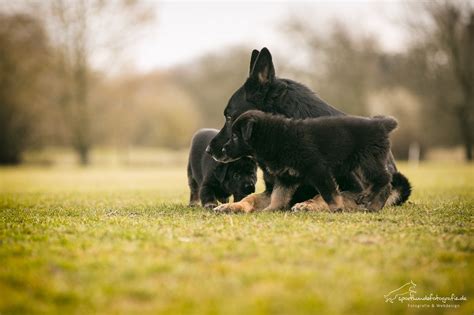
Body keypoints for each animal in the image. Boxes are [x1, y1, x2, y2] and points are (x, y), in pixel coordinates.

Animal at [224, 110, 398, 212]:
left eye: (235, 136)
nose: (223, 150)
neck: (275, 137)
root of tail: (380, 123)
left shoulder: (318, 169)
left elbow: (329, 193)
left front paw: (336, 208)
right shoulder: (286, 177)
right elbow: (278, 195)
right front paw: (271, 209)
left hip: (367, 161)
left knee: (384, 178)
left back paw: (369, 198)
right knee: (387, 183)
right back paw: (374, 206)